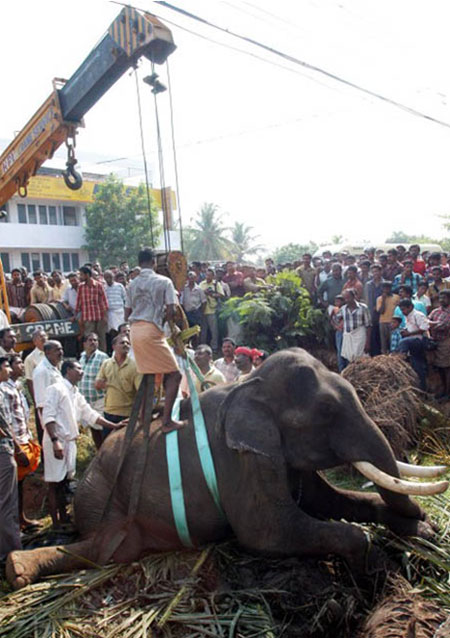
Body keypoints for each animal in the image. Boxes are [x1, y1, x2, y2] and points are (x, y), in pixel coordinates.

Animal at [6, 348, 448, 590]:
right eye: (325, 410)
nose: (430, 520)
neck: (251, 384)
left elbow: (331, 499)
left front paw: (423, 530)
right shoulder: (241, 458)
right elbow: (267, 532)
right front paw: (368, 571)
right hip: (104, 501)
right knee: (107, 549)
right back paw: (17, 569)